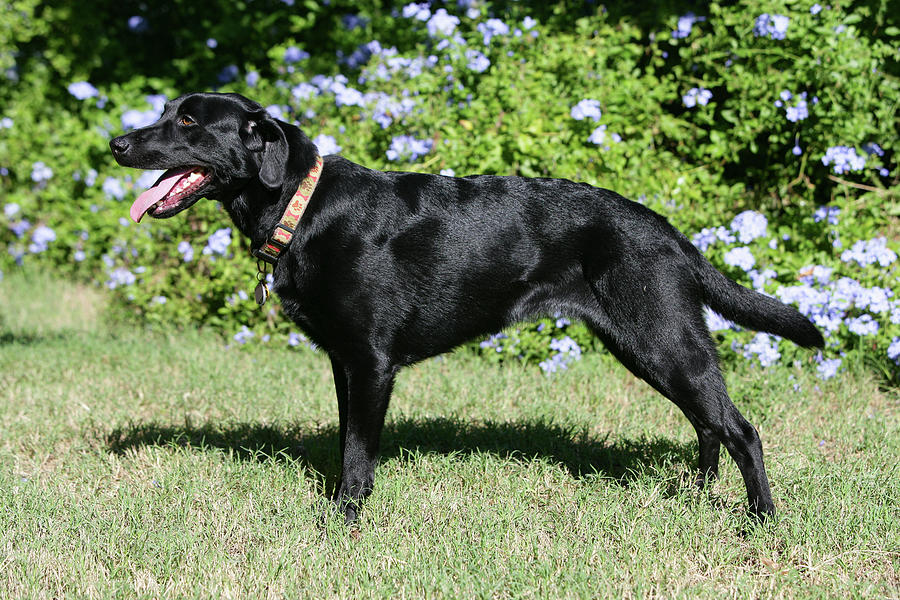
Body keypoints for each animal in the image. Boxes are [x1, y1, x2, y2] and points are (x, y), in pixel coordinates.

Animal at [110, 91, 824, 524]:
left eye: (189, 123)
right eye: (167, 112)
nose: (116, 144)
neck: (302, 206)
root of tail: (669, 230)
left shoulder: (371, 363)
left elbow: (358, 457)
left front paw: (345, 524)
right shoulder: (344, 364)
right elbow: (345, 445)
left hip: (661, 338)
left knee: (740, 429)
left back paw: (760, 521)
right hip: (651, 345)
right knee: (708, 426)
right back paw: (696, 500)